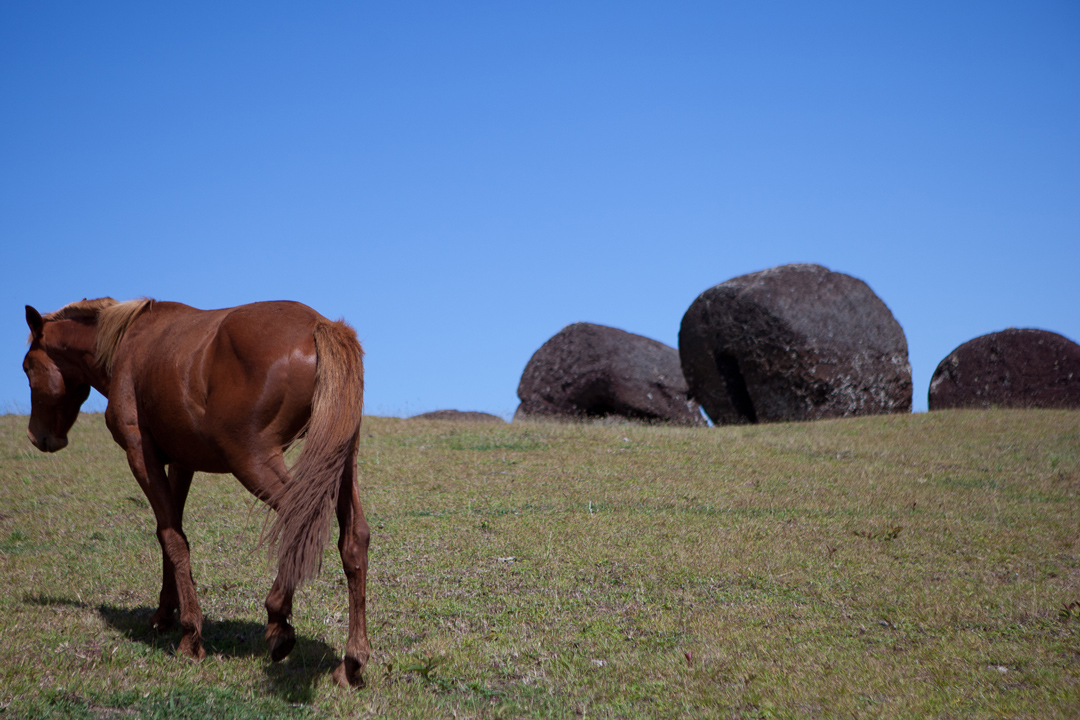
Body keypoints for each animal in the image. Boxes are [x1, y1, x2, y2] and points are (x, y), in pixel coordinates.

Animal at [23, 297, 371, 686]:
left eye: (28, 367)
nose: (37, 436)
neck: (129, 342)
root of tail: (320, 325)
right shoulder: (180, 463)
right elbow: (170, 533)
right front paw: (164, 613)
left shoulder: (140, 456)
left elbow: (172, 537)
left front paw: (190, 635)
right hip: (338, 460)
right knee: (353, 539)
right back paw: (352, 661)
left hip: (253, 461)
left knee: (299, 519)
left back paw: (278, 622)